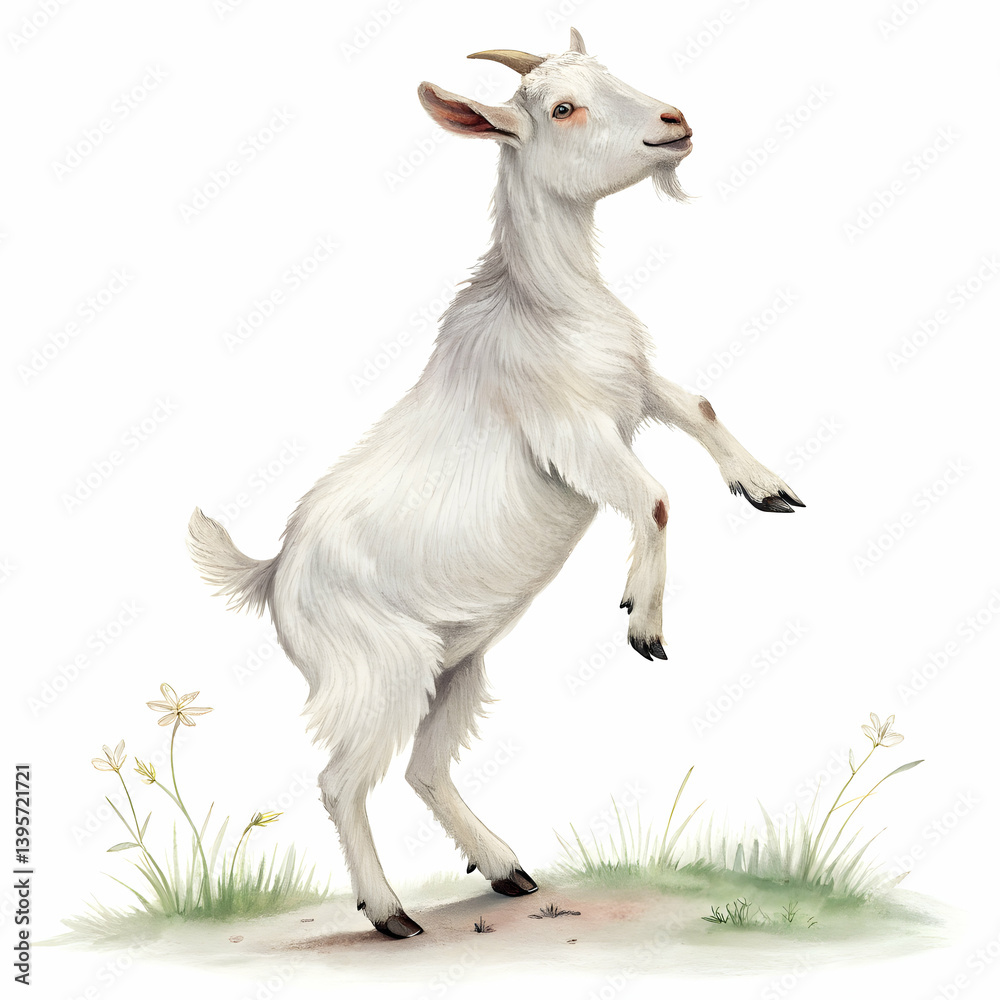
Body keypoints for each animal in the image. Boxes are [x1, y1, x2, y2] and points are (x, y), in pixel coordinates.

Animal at [187, 28, 803, 939]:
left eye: (609, 74)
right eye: (564, 108)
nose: (675, 120)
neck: (547, 304)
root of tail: (272, 574)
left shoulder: (630, 392)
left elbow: (698, 406)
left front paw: (767, 489)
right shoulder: (571, 436)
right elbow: (654, 495)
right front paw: (643, 621)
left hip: (456, 667)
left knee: (422, 769)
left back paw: (506, 868)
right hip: (379, 670)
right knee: (341, 781)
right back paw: (389, 912)